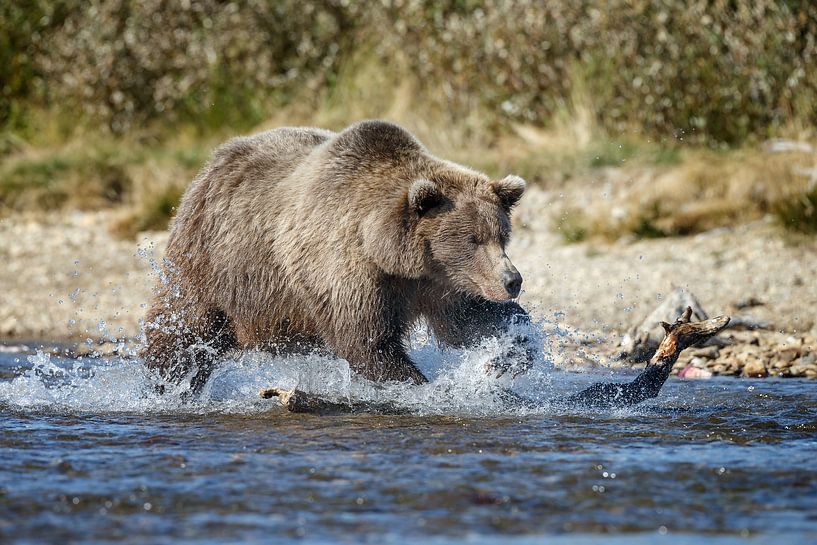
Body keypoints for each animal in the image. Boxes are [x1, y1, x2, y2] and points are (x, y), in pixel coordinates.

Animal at [143, 120, 532, 388]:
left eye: (502, 236)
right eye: (472, 239)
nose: (512, 280)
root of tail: (211, 165)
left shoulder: (443, 285)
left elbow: (472, 320)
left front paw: (508, 356)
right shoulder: (348, 271)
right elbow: (368, 343)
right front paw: (424, 384)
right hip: (212, 264)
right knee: (183, 333)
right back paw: (167, 384)